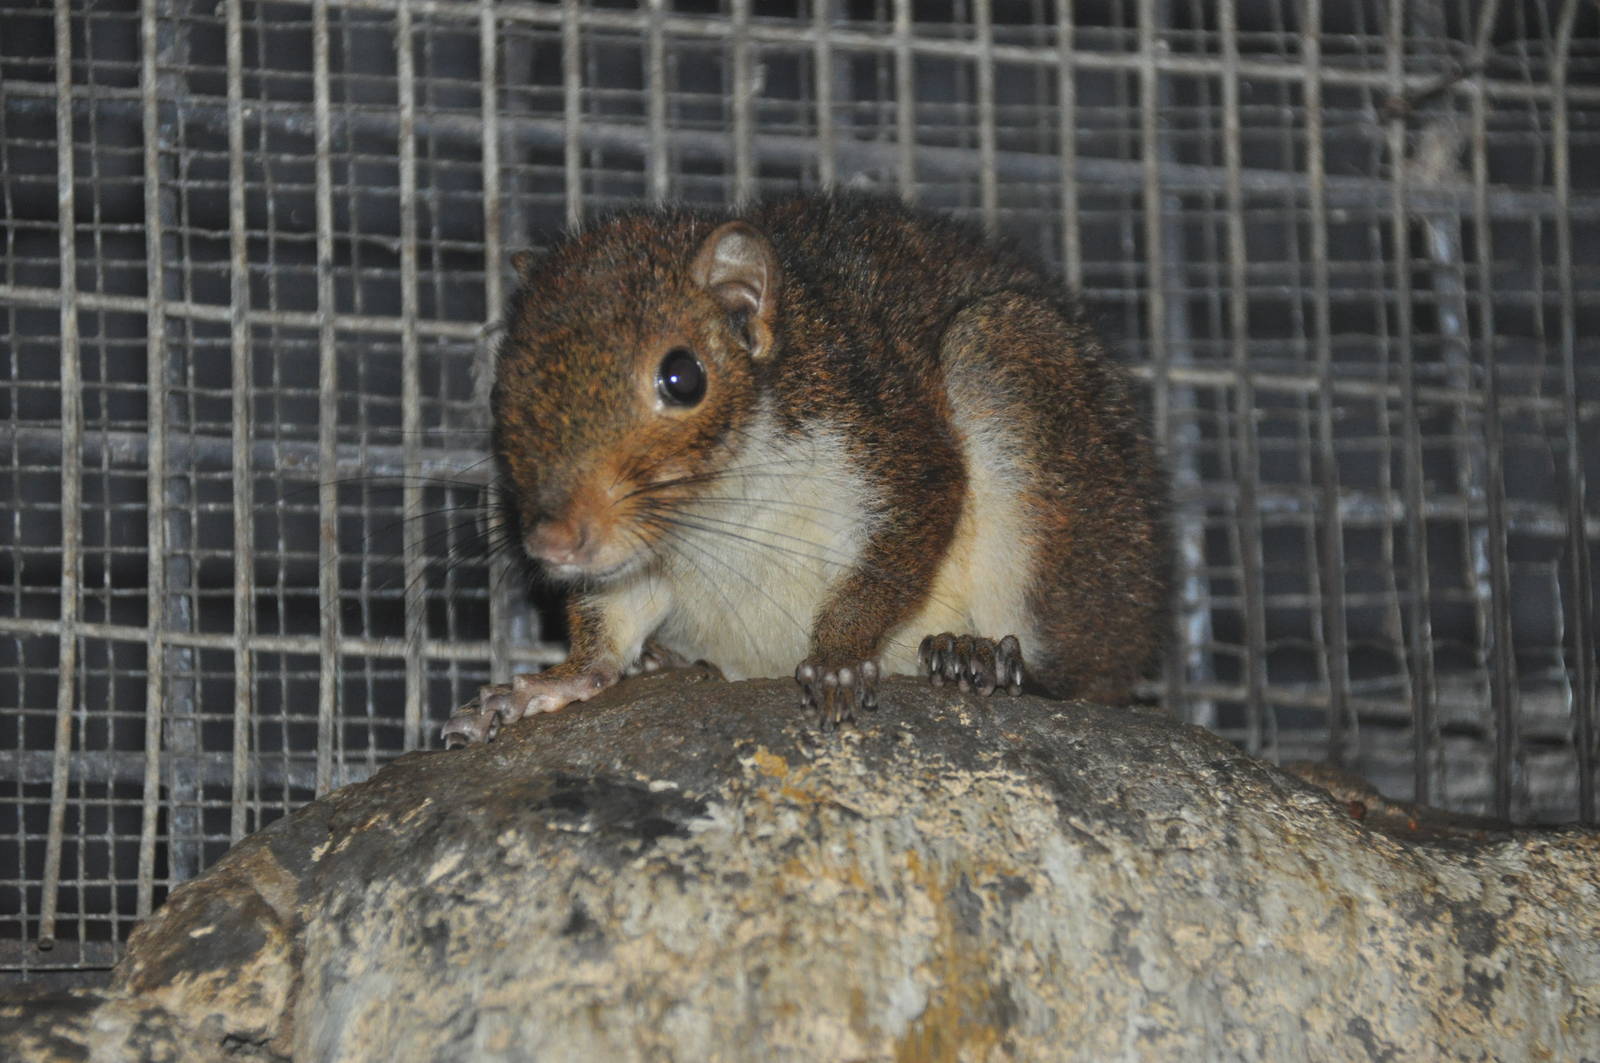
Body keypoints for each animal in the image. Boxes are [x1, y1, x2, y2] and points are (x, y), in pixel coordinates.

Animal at [442, 193, 1167, 745]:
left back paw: (982, 659)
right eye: (498, 389)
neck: (718, 506)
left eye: (683, 377)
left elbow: (899, 547)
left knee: (1077, 680)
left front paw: (838, 660)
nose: (554, 541)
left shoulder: (887, 436)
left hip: (1012, 368)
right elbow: (607, 628)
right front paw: (556, 681)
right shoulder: (633, 557)